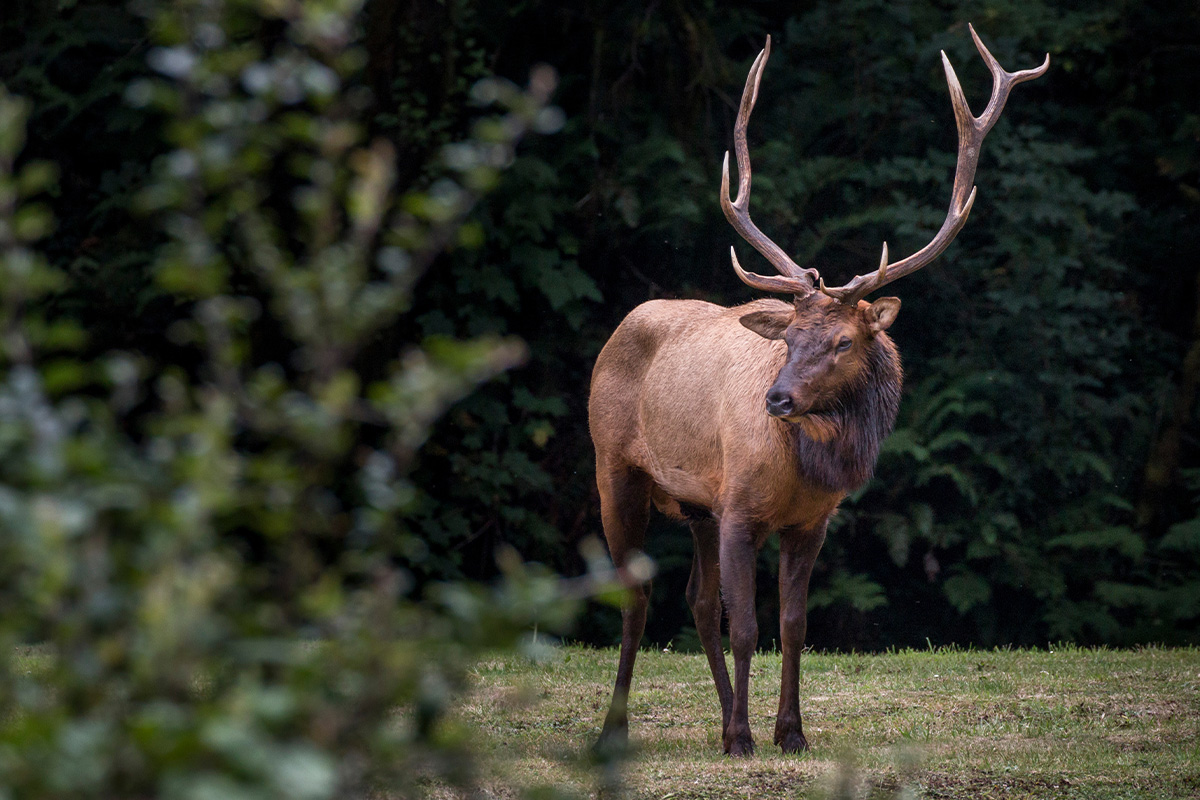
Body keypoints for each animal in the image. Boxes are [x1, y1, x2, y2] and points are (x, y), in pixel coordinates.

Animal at [590, 26, 1051, 758]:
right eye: (787, 339)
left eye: (842, 342)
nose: (776, 400)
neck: (801, 468)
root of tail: (620, 327)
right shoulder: (739, 506)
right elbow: (747, 625)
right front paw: (746, 738)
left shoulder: (810, 521)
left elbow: (793, 626)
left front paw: (789, 733)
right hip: (614, 469)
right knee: (636, 598)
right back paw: (619, 729)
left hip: (692, 503)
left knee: (695, 600)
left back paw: (717, 717)